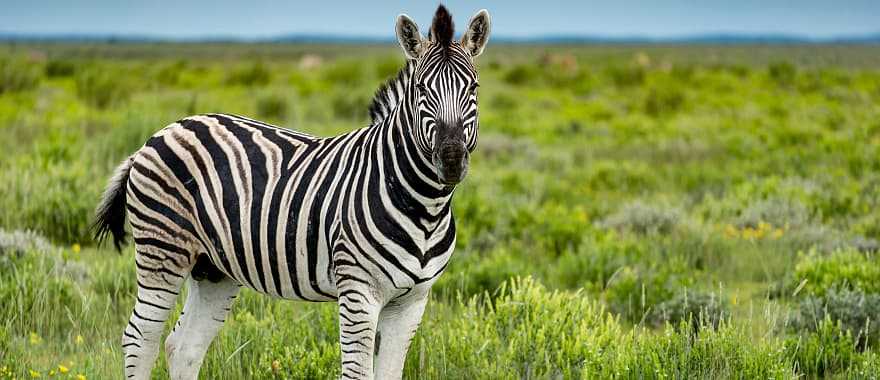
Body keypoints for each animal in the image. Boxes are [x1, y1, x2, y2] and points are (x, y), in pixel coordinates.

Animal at [93, 5, 492, 380]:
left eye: (473, 88)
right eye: (422, 89)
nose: (451, 159)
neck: (425, 206)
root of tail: (163, 131)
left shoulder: (412, 302)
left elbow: (390, 372)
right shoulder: (359, 292)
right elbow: (356, 372)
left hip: (214, 268)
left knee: (183, 346)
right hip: (162, 249)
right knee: (140, 338)